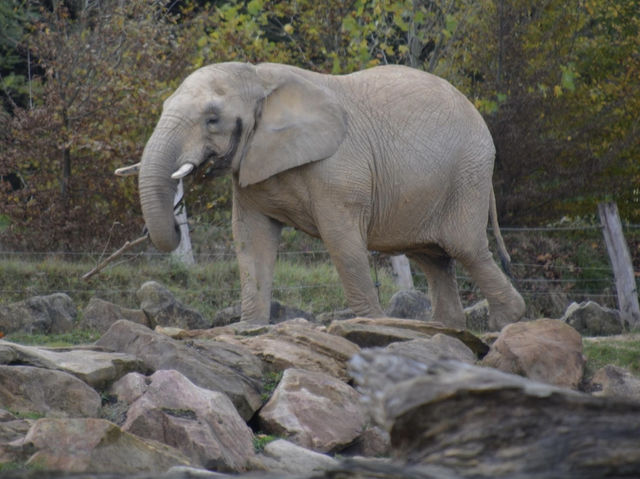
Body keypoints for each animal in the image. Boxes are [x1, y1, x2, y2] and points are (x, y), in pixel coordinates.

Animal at [119, 62, 524, 330]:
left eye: (212, 118)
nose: (176, 221)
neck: (259, 77)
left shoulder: (340, 171)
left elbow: (341, 241)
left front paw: (371, 326)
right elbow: (250, 238)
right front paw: (250, 329)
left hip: (467, 177)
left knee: (466, 249)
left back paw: (505, 325)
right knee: (433, 258)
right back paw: (444, 329)